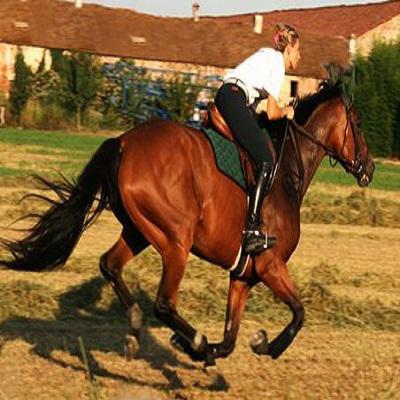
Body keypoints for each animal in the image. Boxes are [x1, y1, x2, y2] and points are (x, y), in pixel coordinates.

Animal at [0, 74, 376, 366]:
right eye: (358, 123)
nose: (370, 168)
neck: (286, 173)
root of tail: (123, 142)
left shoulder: (243, 276)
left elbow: (230, 339)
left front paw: (227, 346)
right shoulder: (270, 265)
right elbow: (299, 313)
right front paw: (264, 345)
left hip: (139, 231)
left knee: (110, 265)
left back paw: (138, 329)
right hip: (175, 241)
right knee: (164, 303)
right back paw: (192, 341)